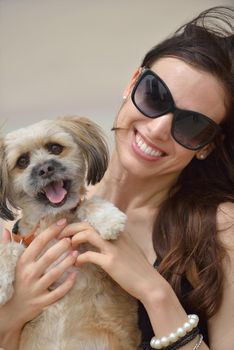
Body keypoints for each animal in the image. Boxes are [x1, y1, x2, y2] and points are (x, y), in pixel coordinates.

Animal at [0, 116, 140, 348]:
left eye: (55, 148)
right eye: (22, 161)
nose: (46, 169)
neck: (51, 219)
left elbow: (86, 203)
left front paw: (108, 219)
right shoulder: (28, 244)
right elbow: (8, 248)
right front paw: (2, 282)